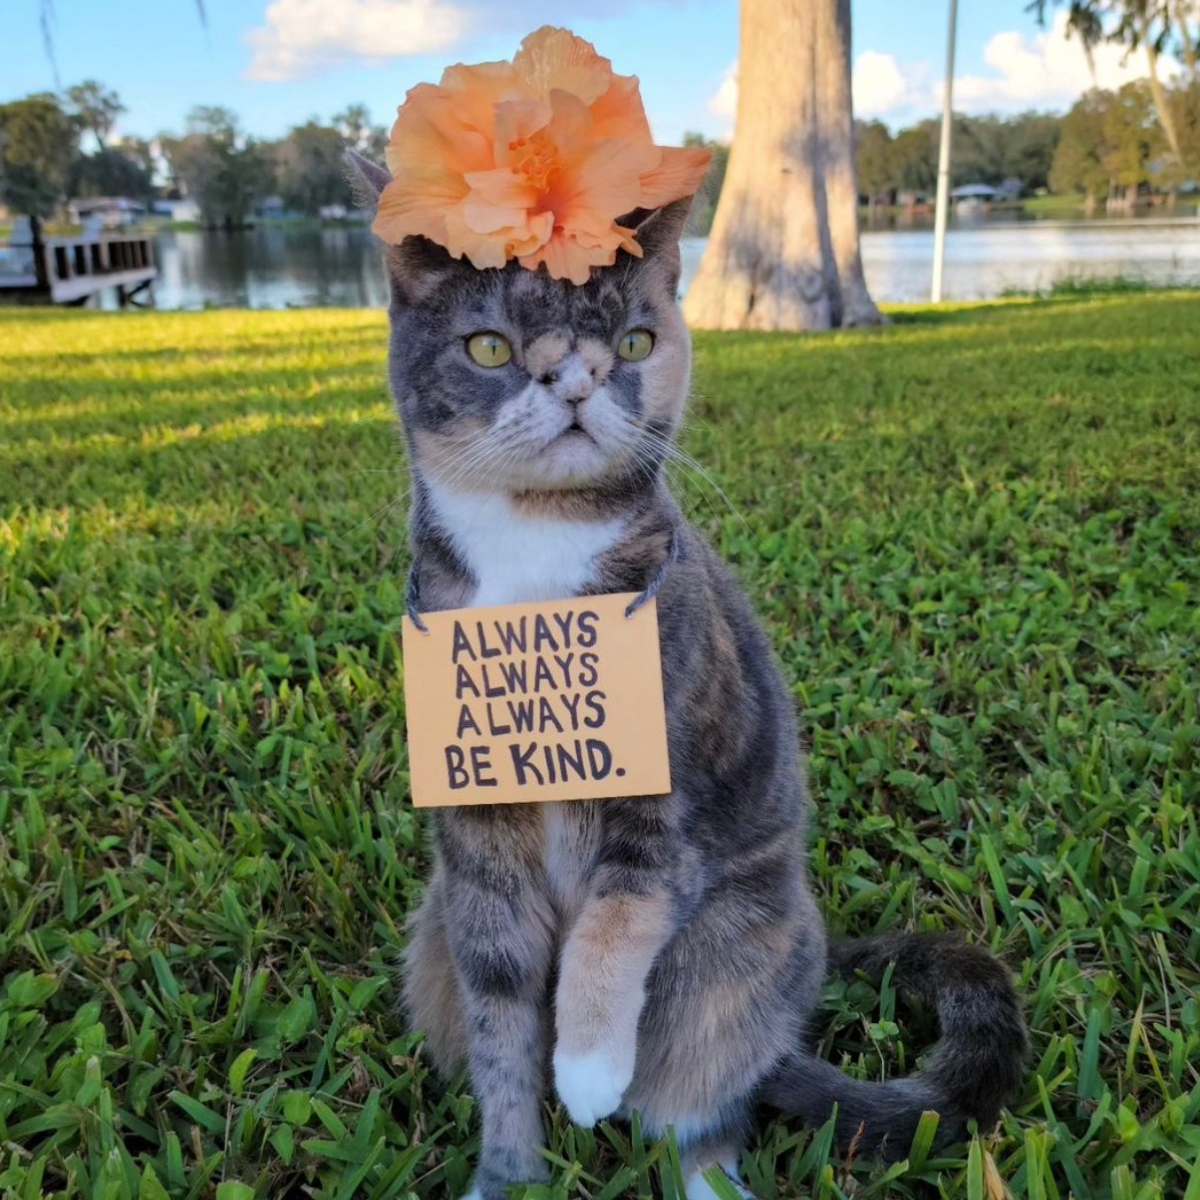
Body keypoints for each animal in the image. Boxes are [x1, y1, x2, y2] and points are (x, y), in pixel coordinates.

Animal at [350, 152, 1032, 1200]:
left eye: (634, 340)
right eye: (490, 348)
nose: (578, 378)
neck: (533, 559)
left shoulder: (661, 800)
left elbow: (620, 916)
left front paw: (588, 1067)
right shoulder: (478, 847)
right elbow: (502, 1019)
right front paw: (510, 1172)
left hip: (728, 962)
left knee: (699, 1111)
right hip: (430, 938)